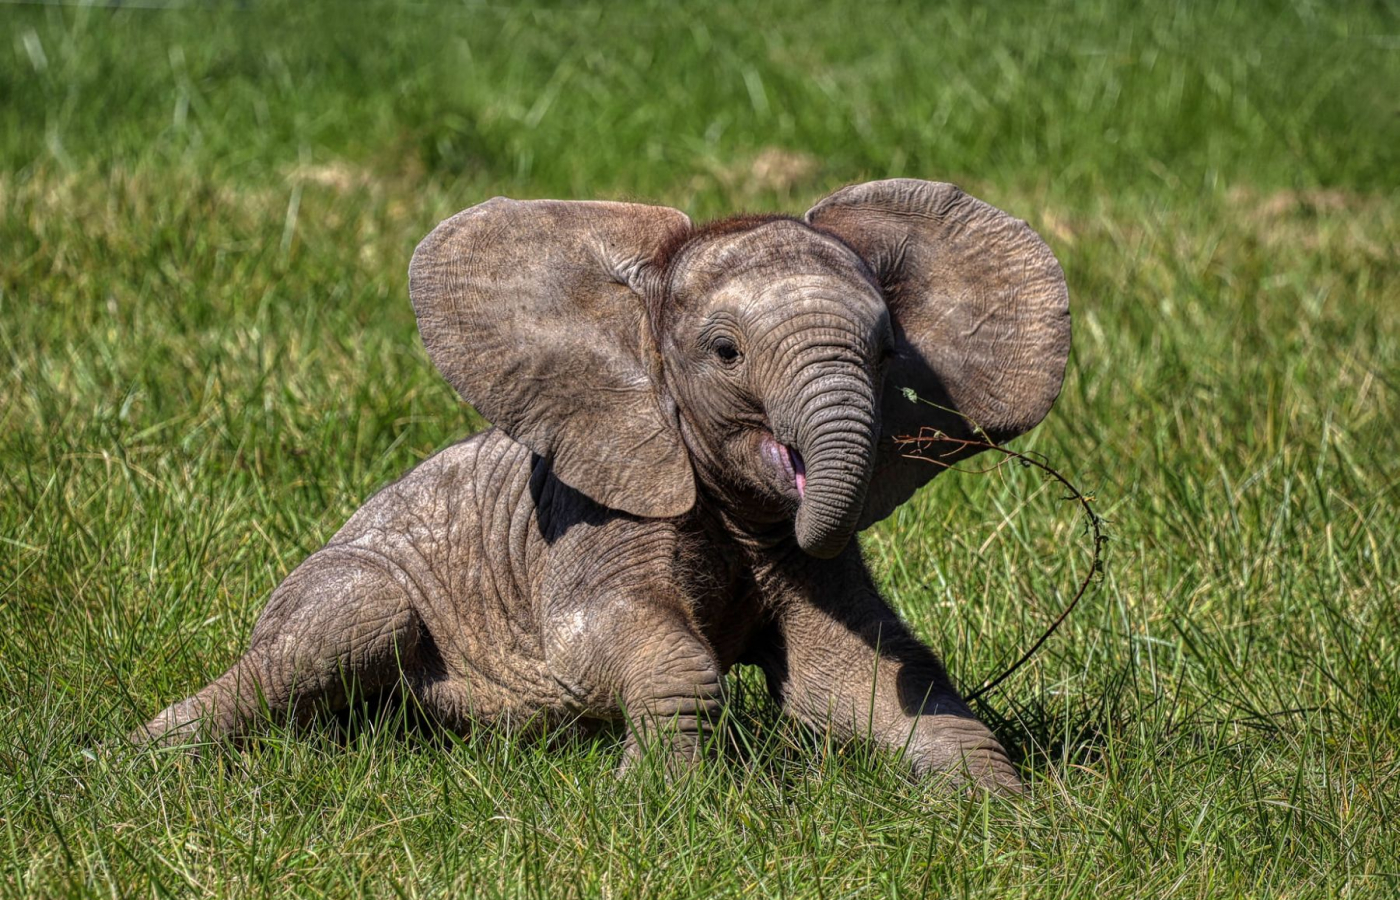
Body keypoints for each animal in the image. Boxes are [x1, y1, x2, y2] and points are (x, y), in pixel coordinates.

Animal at [133, 177, 1069, 795]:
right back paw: (142, 761)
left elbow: (856, 676)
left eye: (884, 353)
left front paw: (1002, 810)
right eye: (725, 352)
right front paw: (658, 804)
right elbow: (606, 643)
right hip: (342, 583)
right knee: (330, 636)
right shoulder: (595, 516)